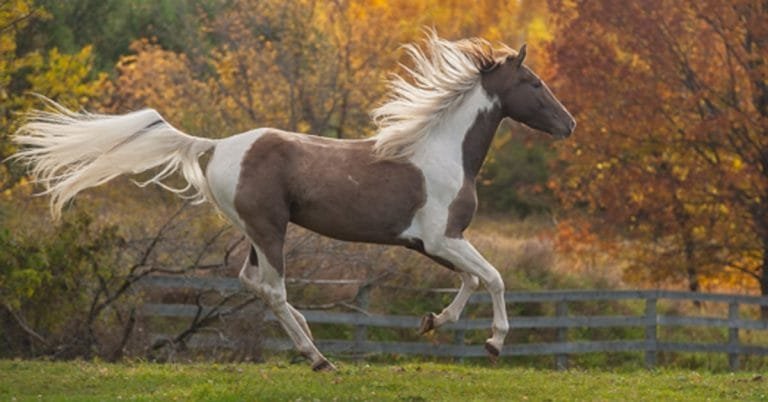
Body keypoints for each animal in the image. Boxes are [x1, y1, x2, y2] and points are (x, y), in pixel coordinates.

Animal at [12, 32, 575, 371]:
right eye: (533, 82)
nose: (569, 124)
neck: (441, 151)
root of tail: (216, 146)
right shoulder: (443, 238)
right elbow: (495, 277)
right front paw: (494, 343)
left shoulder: (430, 243)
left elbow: (472, 280)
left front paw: (433, 321)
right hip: (270, 229)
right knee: (273, 289)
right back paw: (318, 356)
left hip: (254, 232)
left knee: (252, 284)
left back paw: (312, 343)